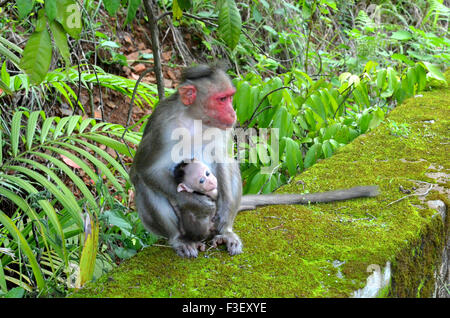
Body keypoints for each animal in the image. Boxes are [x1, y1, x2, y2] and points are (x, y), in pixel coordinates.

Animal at [130, 64, 380, 258]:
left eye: (230, 97)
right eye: (221, 99)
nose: (232, 112)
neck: (195, 117)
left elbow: (224, 159)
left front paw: (220, 214)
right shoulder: (163, 125)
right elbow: (145, 170)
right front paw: (195, 203)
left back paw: (224, 231)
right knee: (146, 186)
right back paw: (179, 239)